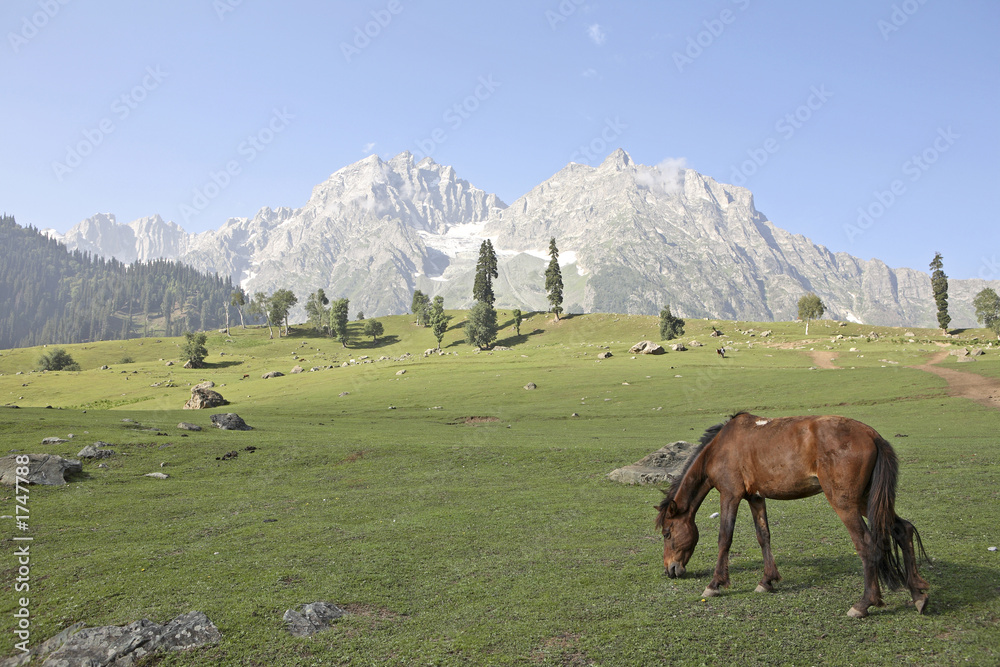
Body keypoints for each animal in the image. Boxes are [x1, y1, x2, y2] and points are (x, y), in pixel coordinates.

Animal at [656, 412, 928, 620]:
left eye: (667, 533)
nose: (670, 569)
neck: (720, 447)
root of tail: (873, 436)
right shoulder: (755, 498)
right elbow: (763, 536)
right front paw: (767, 581)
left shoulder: (730, 495)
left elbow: (725, 538)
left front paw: (715, 585)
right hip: (868, 500)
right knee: (903, 530)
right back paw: (918, 594)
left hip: (846, 504)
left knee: (867, 545)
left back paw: (863, 605)